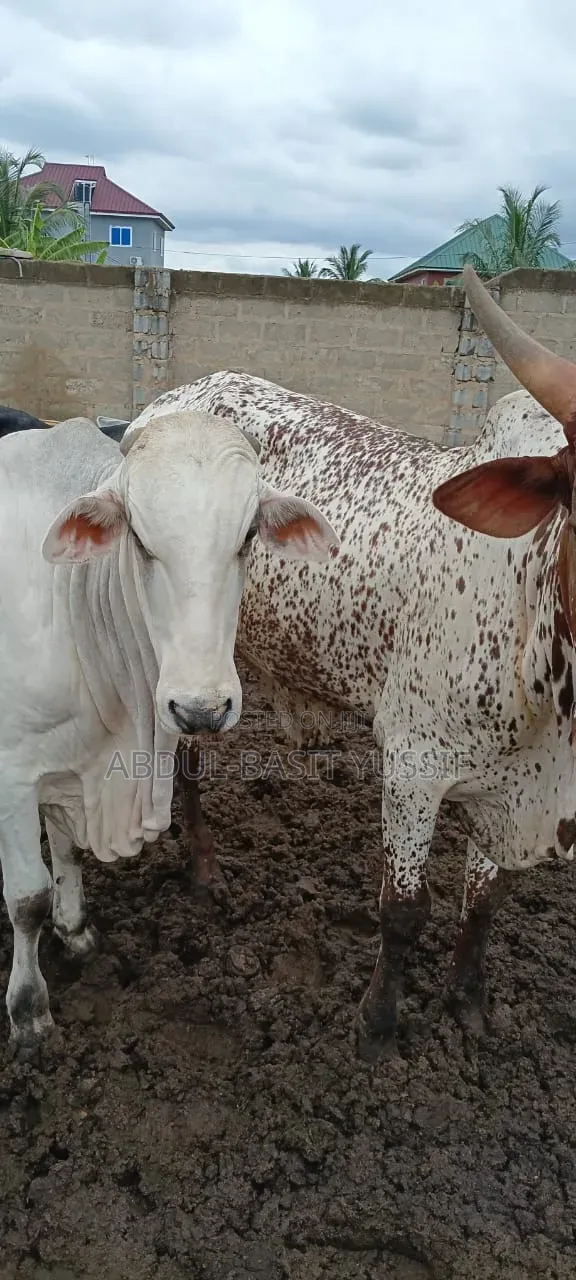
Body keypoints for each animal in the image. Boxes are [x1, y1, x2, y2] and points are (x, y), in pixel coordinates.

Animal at [0, 409, 338, 1055]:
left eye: (248, 537)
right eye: (140, 540)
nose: (200, 708)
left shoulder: (69, 766)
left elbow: (67, 854)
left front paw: (75, 932)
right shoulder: (11, 775)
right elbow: (26, 899)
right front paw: (29, 1012)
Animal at [127, 276, 576, 1061]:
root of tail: (164, 404)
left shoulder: (504, 787)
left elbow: (484, 901)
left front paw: (470, 1005)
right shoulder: (415, 763)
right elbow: (403, 908)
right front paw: (378, 1028)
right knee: (185, 761)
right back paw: (204, 869)